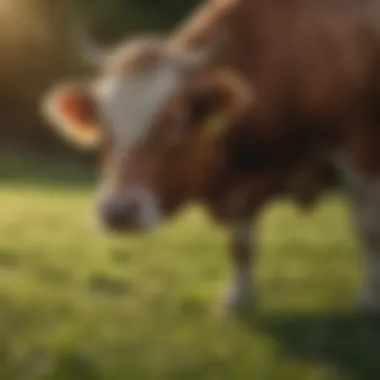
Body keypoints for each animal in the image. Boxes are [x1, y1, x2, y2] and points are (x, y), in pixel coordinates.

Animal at [39, 0, 380, 312]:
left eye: (176, 121)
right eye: (103, 124)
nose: (119, 212)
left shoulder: (358, 152)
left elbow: (367, 227)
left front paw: (368, 298)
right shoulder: (239, 182)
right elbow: (240, 242)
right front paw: (238, 299)